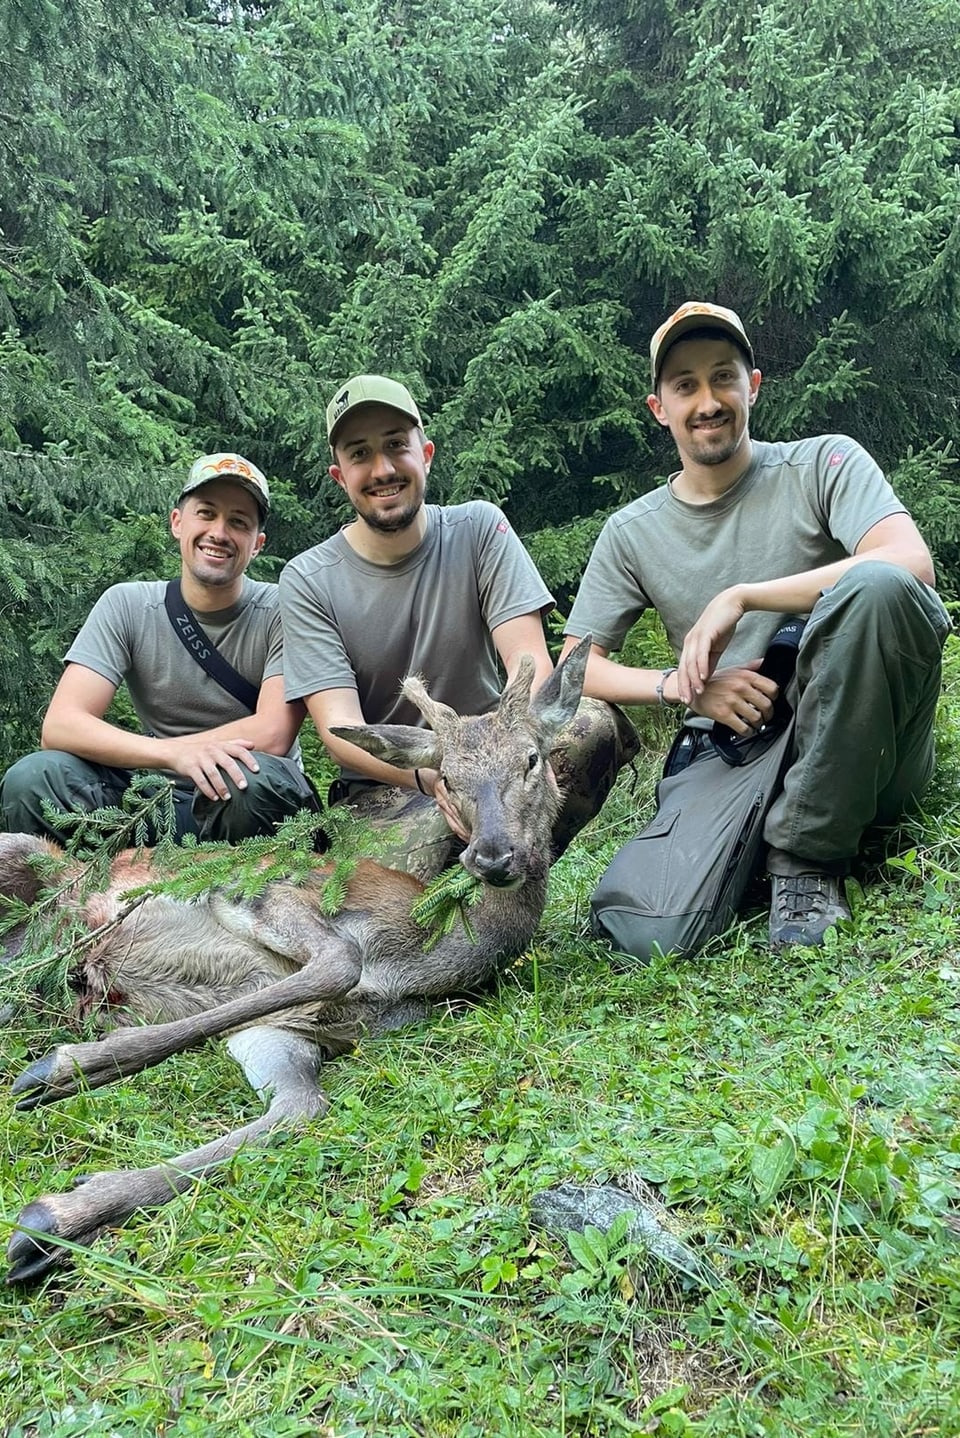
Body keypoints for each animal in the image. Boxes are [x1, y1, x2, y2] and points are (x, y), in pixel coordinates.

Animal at [3, 641, 589, 1282]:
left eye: (531, 758)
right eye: (447, 778)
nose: (493, 854)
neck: (415, 961)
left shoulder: (287, 1030)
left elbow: (300, 1107)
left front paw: (60, 1217)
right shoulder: (263, 891)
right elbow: (338, 962)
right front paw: (60, 1070)